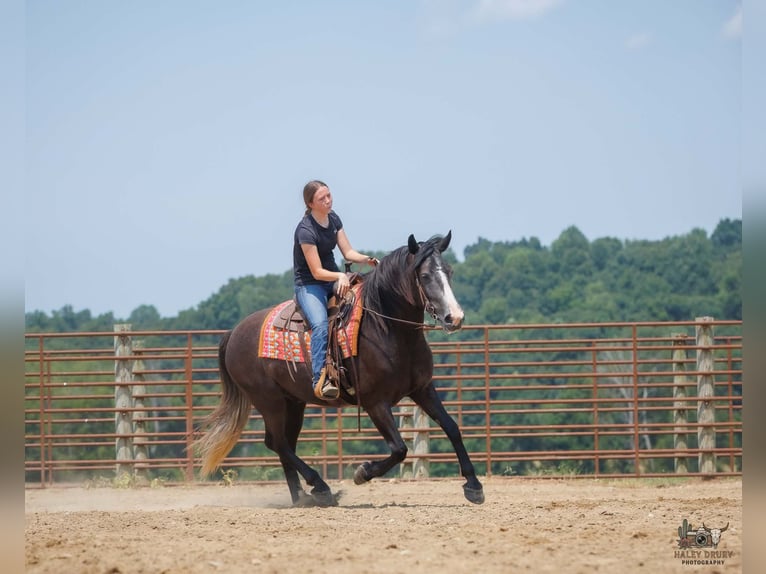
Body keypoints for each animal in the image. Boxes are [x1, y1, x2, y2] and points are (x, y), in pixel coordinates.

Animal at [192, 231, 485, 507]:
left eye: (449, 271)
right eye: (424, 275)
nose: (455, 317)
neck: (385, 328)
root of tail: (234, 333)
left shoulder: (422, 389)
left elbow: (452, 428)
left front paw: (473, 486)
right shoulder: (375, 402)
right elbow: (399, 448)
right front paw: (363, 472)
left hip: (293, 402)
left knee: (283, 443)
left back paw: (303, 497)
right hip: (268, 401)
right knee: (278, 443)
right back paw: (320, 487)